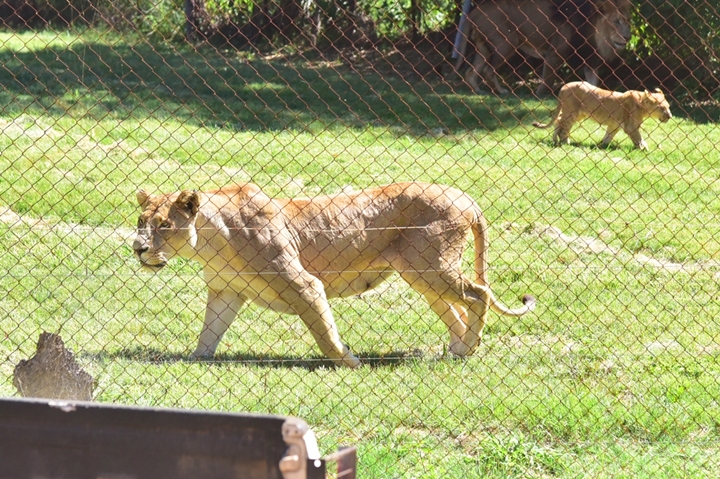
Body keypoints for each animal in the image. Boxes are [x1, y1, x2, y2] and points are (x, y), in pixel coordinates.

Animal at [133, 182, 535, 368]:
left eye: (165, 224)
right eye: (140, 220)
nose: (138, 248)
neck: (210, 241)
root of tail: (466, 196)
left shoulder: (305, 285)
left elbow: (324, 334)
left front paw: (350, 362)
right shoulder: (226, 292)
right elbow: (208, 335)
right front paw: (193, 363)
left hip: (431, 267)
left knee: (479, 293)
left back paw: (467, 349)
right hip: (422, 274)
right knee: (457, 308)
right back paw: (455, 349)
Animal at [454, 0, 632, 96]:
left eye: (627, 22)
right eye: (616, 22)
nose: (628, 37)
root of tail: (474, 12)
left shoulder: (590, 60)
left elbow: (593, 84)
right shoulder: (555, 53)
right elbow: (548, 78)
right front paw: (540, 94)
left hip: (483, 49)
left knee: (470, 72)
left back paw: (478, 91)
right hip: (507, 43)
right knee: (487, 70)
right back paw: (501, 91)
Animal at [532, 81, 672, 149]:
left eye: (668, 107)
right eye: (662, 108)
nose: (670, 116)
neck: (642, 106)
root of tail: (564, 86)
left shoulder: (614, 125)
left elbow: (608, 137)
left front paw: (602, 146)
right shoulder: (631, 126)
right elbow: (638, 138)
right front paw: (644, 149)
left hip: (578, 114)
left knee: (559, 120)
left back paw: (556, 140)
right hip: (572, 113)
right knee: (562, 125)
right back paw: (565, 142)